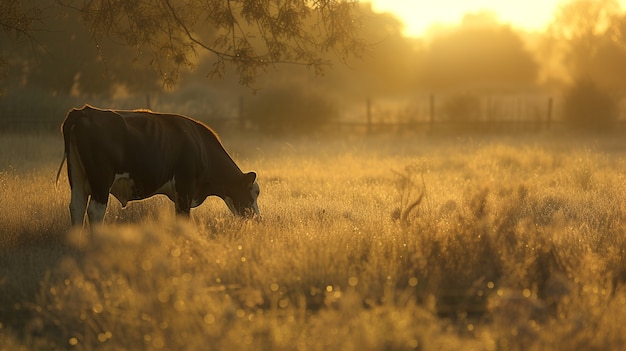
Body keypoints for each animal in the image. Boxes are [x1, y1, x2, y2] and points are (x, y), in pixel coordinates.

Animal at [54, 104, 258, 230]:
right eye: (254, 192)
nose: (257, 219)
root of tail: (84, 111)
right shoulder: (185, 187)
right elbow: (183, 218)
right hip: (101, 181)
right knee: (95, 211)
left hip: (77, 178)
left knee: (77, 207)